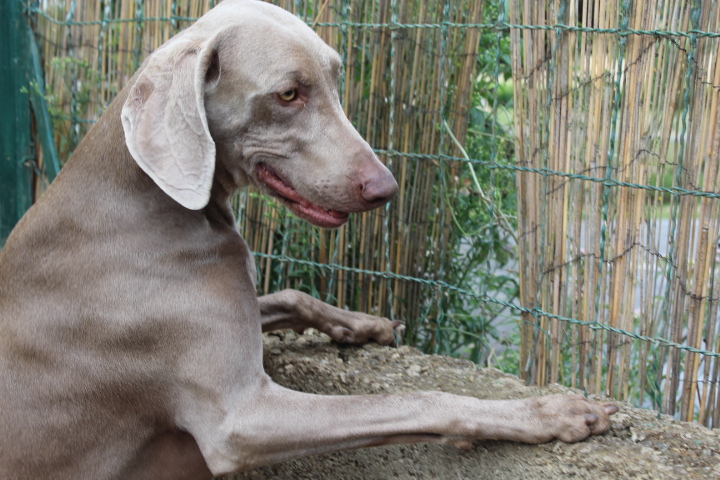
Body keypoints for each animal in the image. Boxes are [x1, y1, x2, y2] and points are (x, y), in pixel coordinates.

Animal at [1, 1, 620, 478]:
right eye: (288, 94)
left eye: (336, 78)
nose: (386, 187)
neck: (149, 198)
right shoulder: (240, 418)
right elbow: (417, 399)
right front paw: (548, 414)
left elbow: (291, 295)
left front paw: (365, 325)